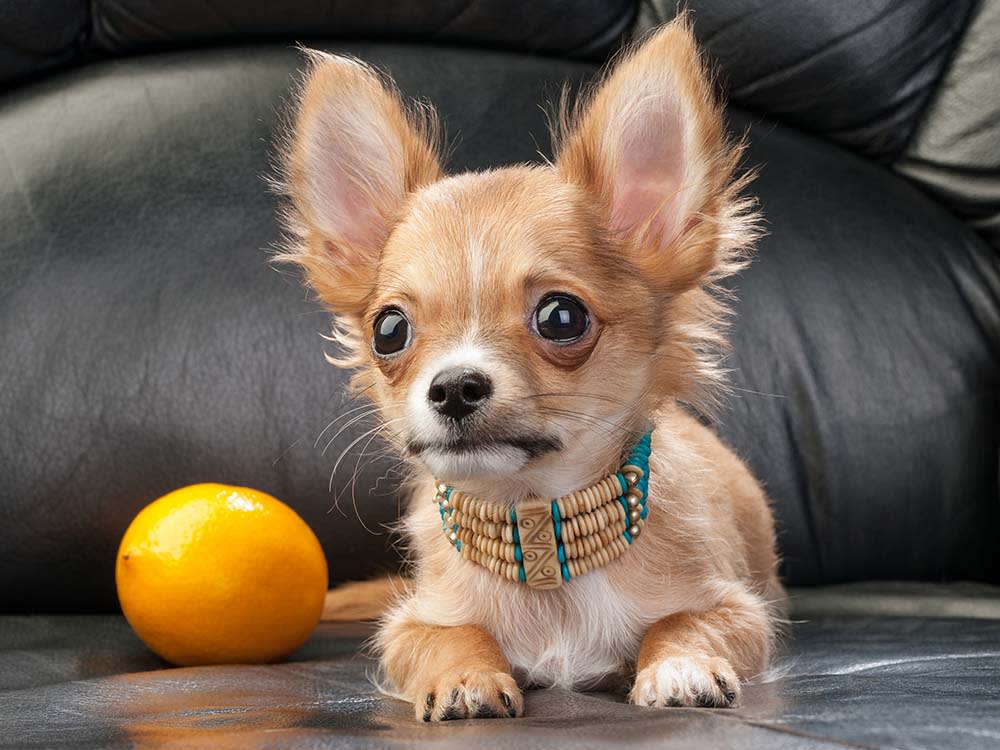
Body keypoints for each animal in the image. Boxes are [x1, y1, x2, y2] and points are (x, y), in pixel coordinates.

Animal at [278, 17, 784, 724]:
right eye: (389, 330)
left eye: (561, 317)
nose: (453, 387)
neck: (534, 513)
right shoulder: (412, 623)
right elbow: (450, 635)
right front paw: (465, 677)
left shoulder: (740, 609)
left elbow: (683, 621)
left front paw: (679, 666)